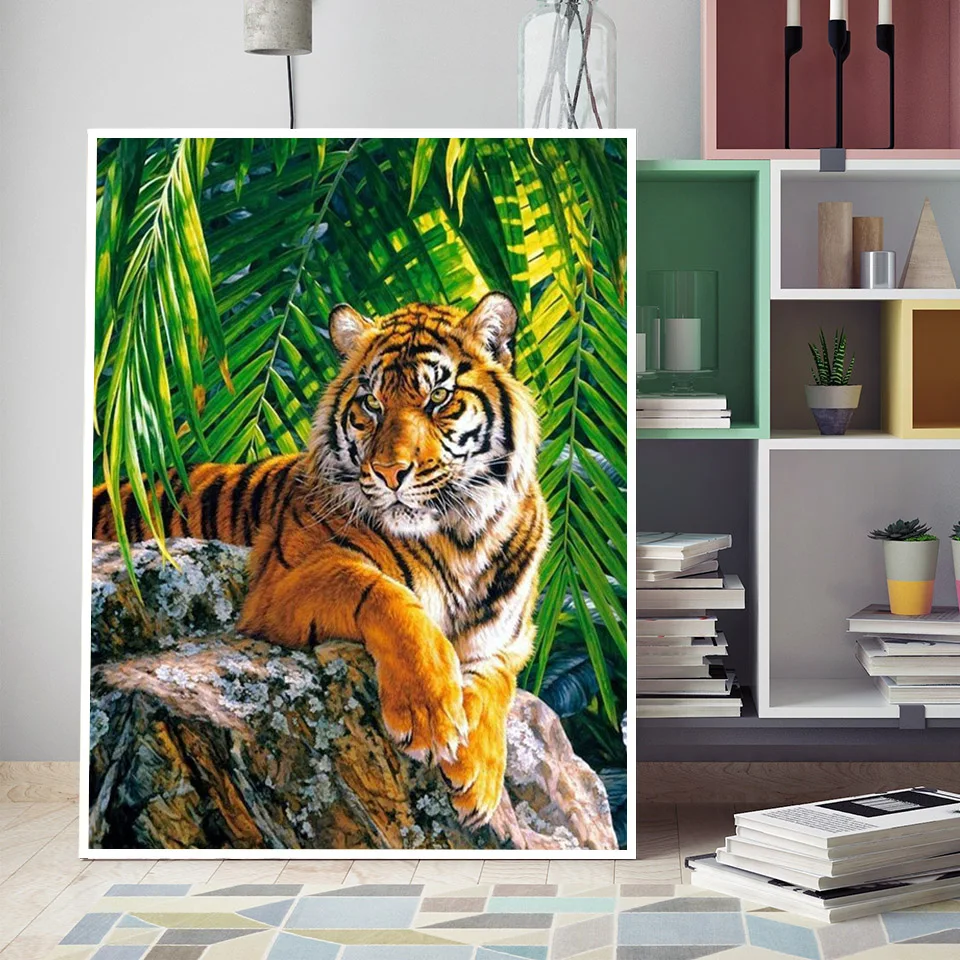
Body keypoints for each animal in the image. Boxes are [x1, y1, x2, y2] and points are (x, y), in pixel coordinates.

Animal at [92, 292, 550, 826]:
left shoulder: (511, 639)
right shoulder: (282, 582)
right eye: (371, 403)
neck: (461, 535)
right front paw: (429, 714)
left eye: (438, 398)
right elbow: (389, 598)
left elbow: (496, 681)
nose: (390, 472)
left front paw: (479, 775)